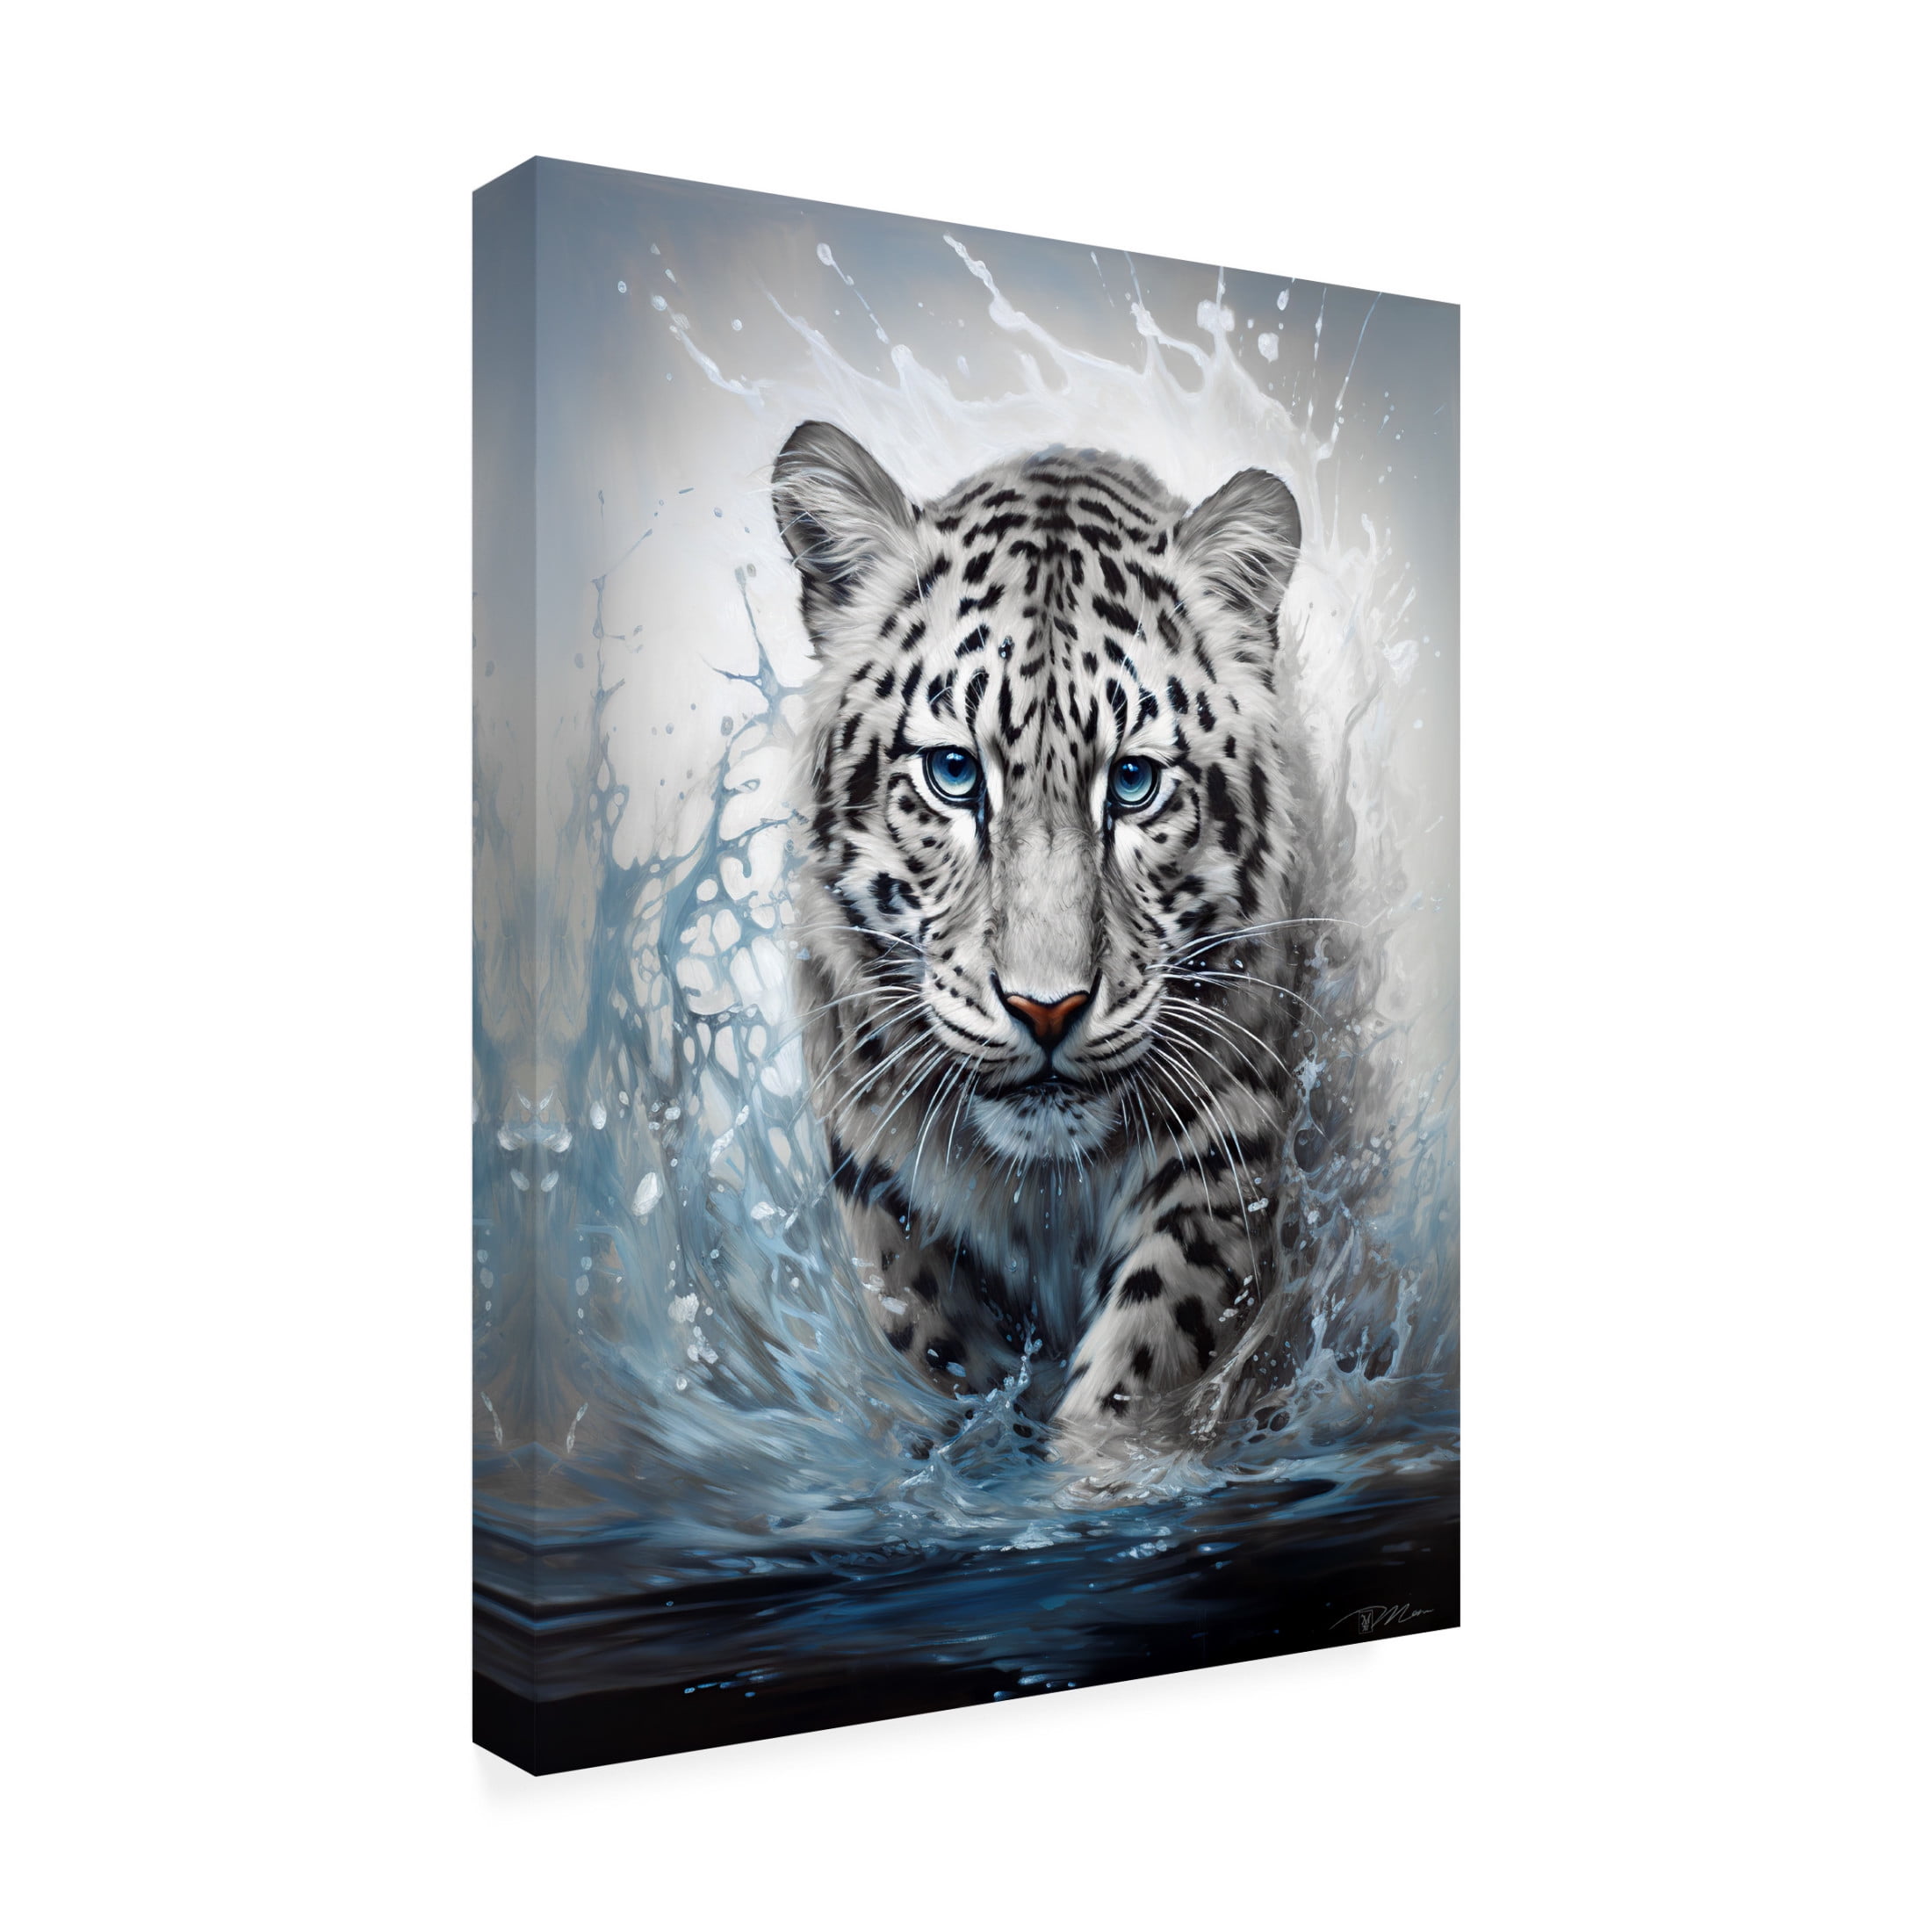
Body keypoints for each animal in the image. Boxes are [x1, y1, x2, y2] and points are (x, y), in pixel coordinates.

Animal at [772, 420, 1321, 1451]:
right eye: (953, 774)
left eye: (1134, 783)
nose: (1048, 1008)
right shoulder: (875, 1164)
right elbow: (927, 1335)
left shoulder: (1226, 1133)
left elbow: (1160, 1332)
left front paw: (1106, 1465)